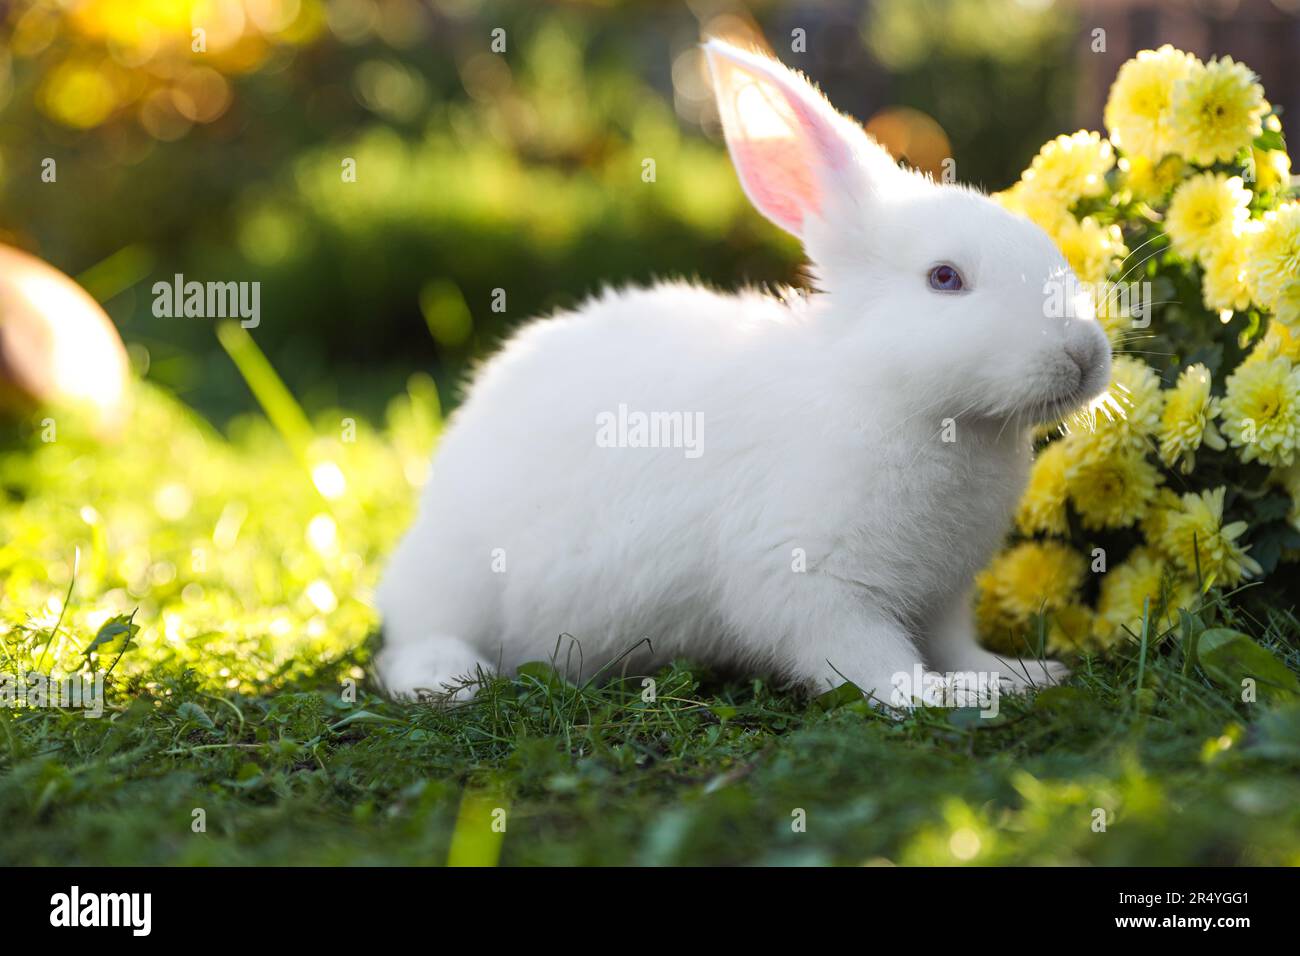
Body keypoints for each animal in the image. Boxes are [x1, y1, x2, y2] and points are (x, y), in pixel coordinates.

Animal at [374, 39, 1112, 707]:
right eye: (945, 278)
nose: (1085, 355)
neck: (889, 397)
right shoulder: (810, 581)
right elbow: (868, 659)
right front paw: (940, 695)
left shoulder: (944, 596)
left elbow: (955, 644)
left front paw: (1017, 674)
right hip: (458, 577)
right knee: (409, 640)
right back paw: (447, 678)